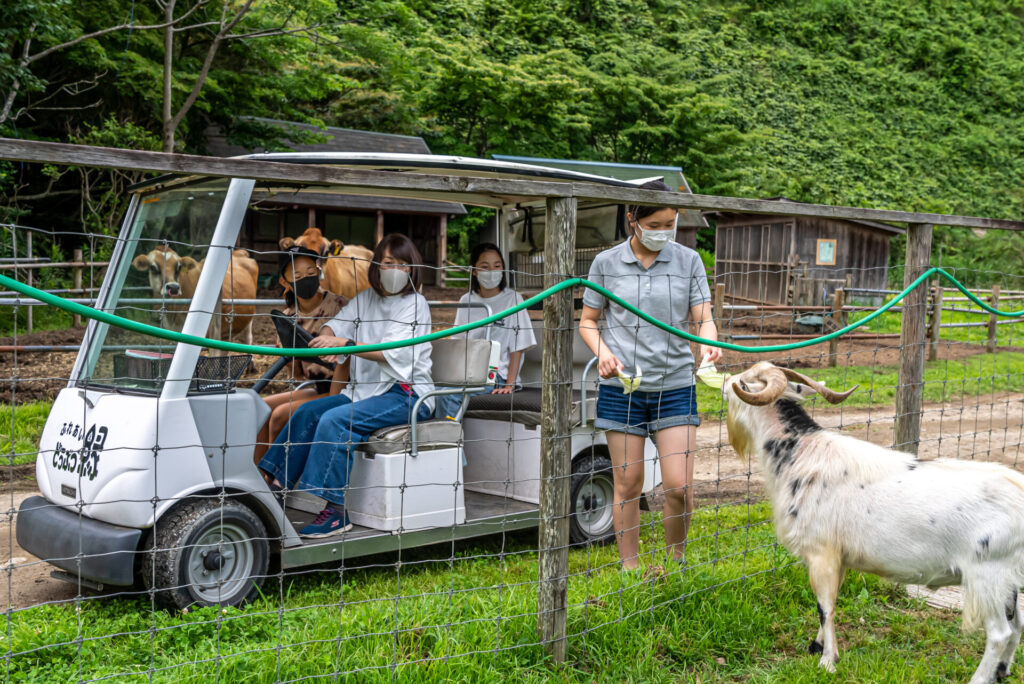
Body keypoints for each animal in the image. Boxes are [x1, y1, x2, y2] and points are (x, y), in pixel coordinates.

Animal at [724, 360, 1024, 679]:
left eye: (744, 382)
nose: (725, 383)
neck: (801, 454)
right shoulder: (839, 558)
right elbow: (830, 602)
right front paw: (817, 646)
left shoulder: (821, 553)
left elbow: (825, 607)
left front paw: (828, 662)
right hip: (1007, 578)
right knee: (1017, 623)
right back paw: (1002, 671)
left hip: (988, 574)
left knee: (999, 633)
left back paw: (980, 678)